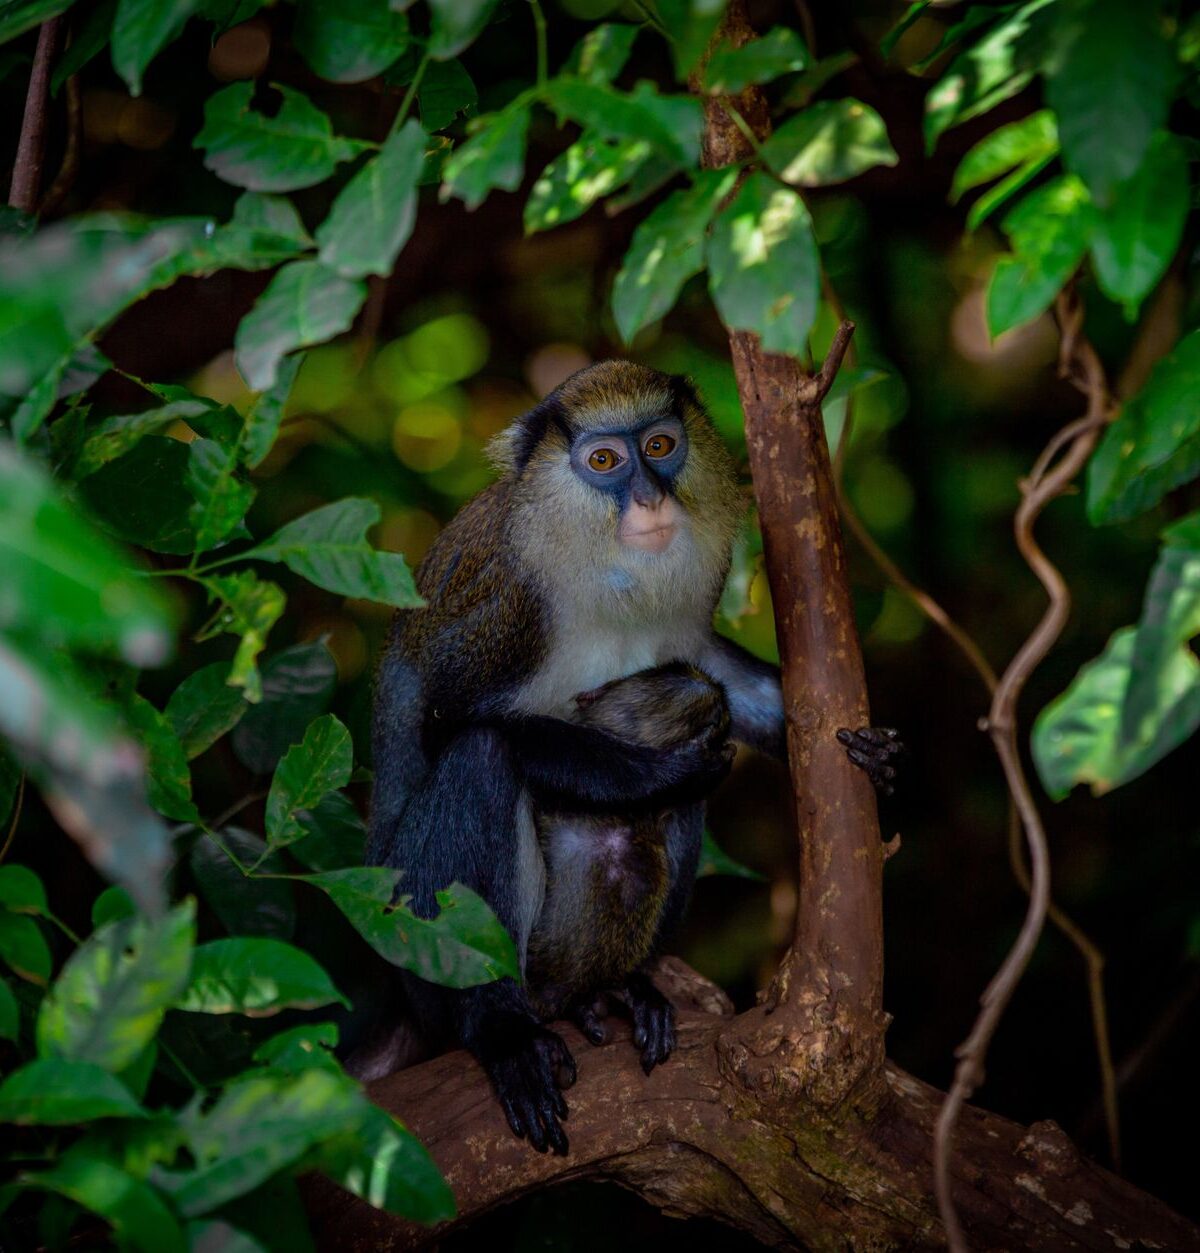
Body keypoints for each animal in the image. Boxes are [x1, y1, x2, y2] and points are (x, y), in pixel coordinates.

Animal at [366, 360, 902, 1156]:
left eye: (659, 445)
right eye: (603, 461)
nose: (649, 497)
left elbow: (712, 676)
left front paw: (872, 748)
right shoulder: (504, 612)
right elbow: (453, 723)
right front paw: (654, 773)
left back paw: (615, 989)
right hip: (412, 928)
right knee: (481, 757)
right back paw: (501, 1026)